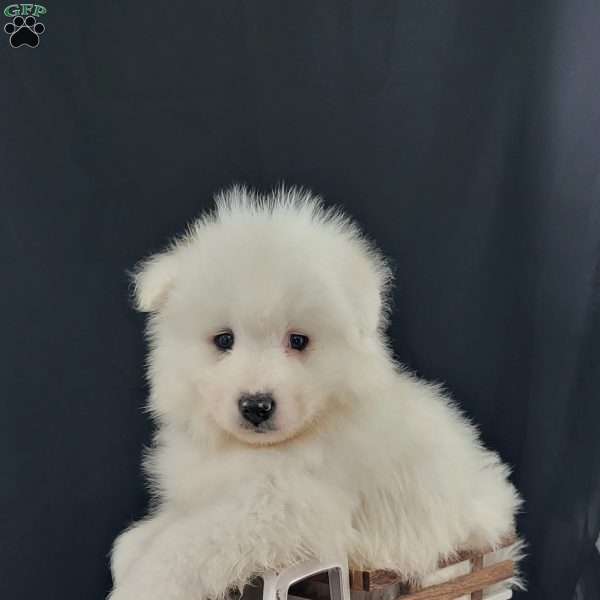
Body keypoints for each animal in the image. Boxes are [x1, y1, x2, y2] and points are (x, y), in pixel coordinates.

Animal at [110, 188, 524, 600]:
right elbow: (169, 521)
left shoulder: (284, 507)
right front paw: (131, 547)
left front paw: (140, 583)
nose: (256, 405)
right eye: (224, 340)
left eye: (298, 340)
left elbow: (189, 541)